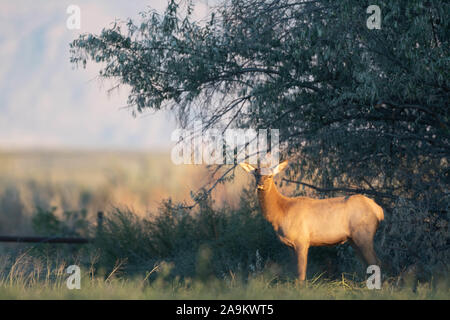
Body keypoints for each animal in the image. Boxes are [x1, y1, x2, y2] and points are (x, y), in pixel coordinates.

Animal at [239, 161, 384, 282]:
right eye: (256, 175)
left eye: (270, 176)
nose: (260, 185)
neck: (281, 213)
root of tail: (378, 210)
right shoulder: (290, 245)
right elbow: (295, 271)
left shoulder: (302, 239)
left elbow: (301, 273)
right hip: (353, 239)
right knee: (368, 263)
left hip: (364, 234)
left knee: (376, 262)